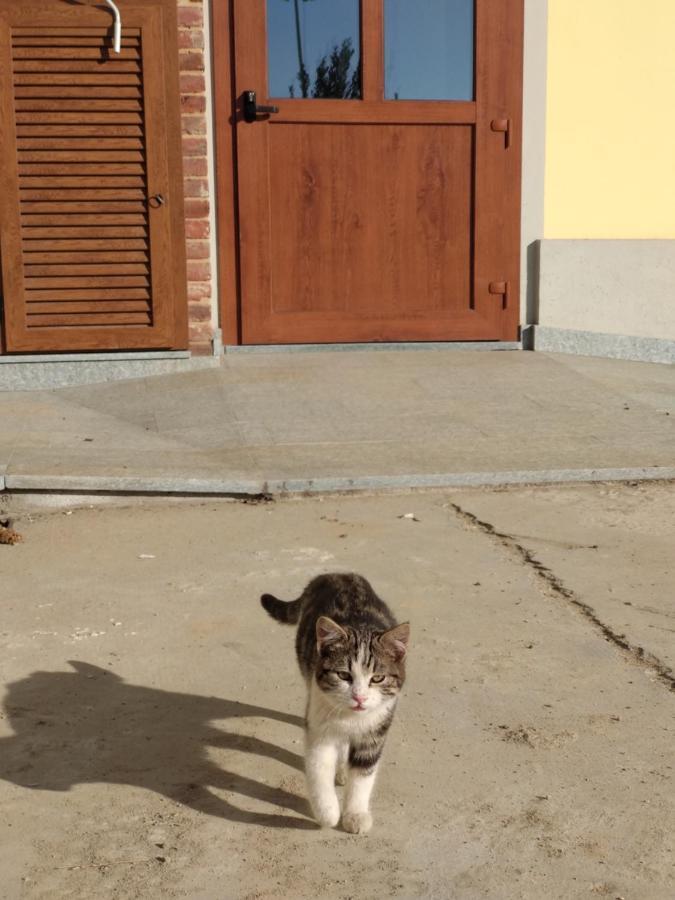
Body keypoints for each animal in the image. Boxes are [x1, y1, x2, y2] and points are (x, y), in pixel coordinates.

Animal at [260, 572, 410, 832]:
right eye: (343, 675)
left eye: (377, 678)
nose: (359, 697)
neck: (352, 717)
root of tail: (334, 574)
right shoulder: (319, 725)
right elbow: (319, 769)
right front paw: (328, 813)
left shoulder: (376, 729)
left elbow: (363, 773)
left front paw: (355, 814)